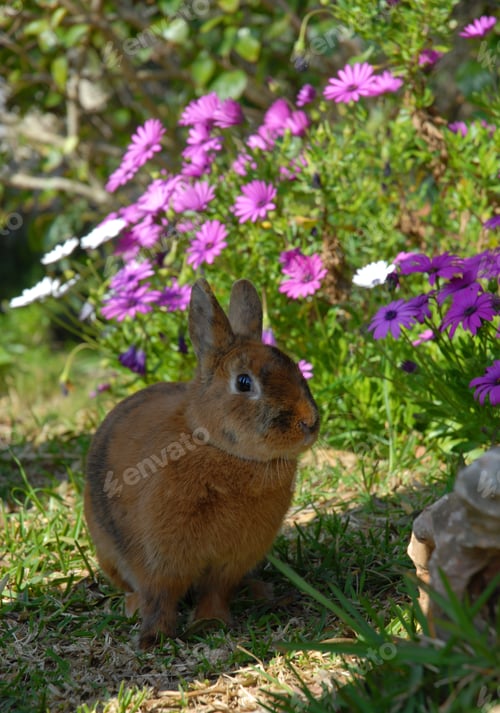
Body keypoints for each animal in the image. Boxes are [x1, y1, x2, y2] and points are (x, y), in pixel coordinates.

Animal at [84, 278, 319, 648]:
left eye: (296, 369)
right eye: (244, 382)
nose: (309, 423)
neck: (216, 446)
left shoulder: (230, 563)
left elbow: (215, 592)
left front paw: (211, 623)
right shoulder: (159, 559)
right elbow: (160, 596)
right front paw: (155, 637)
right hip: (108, 553)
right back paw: (132, 607)